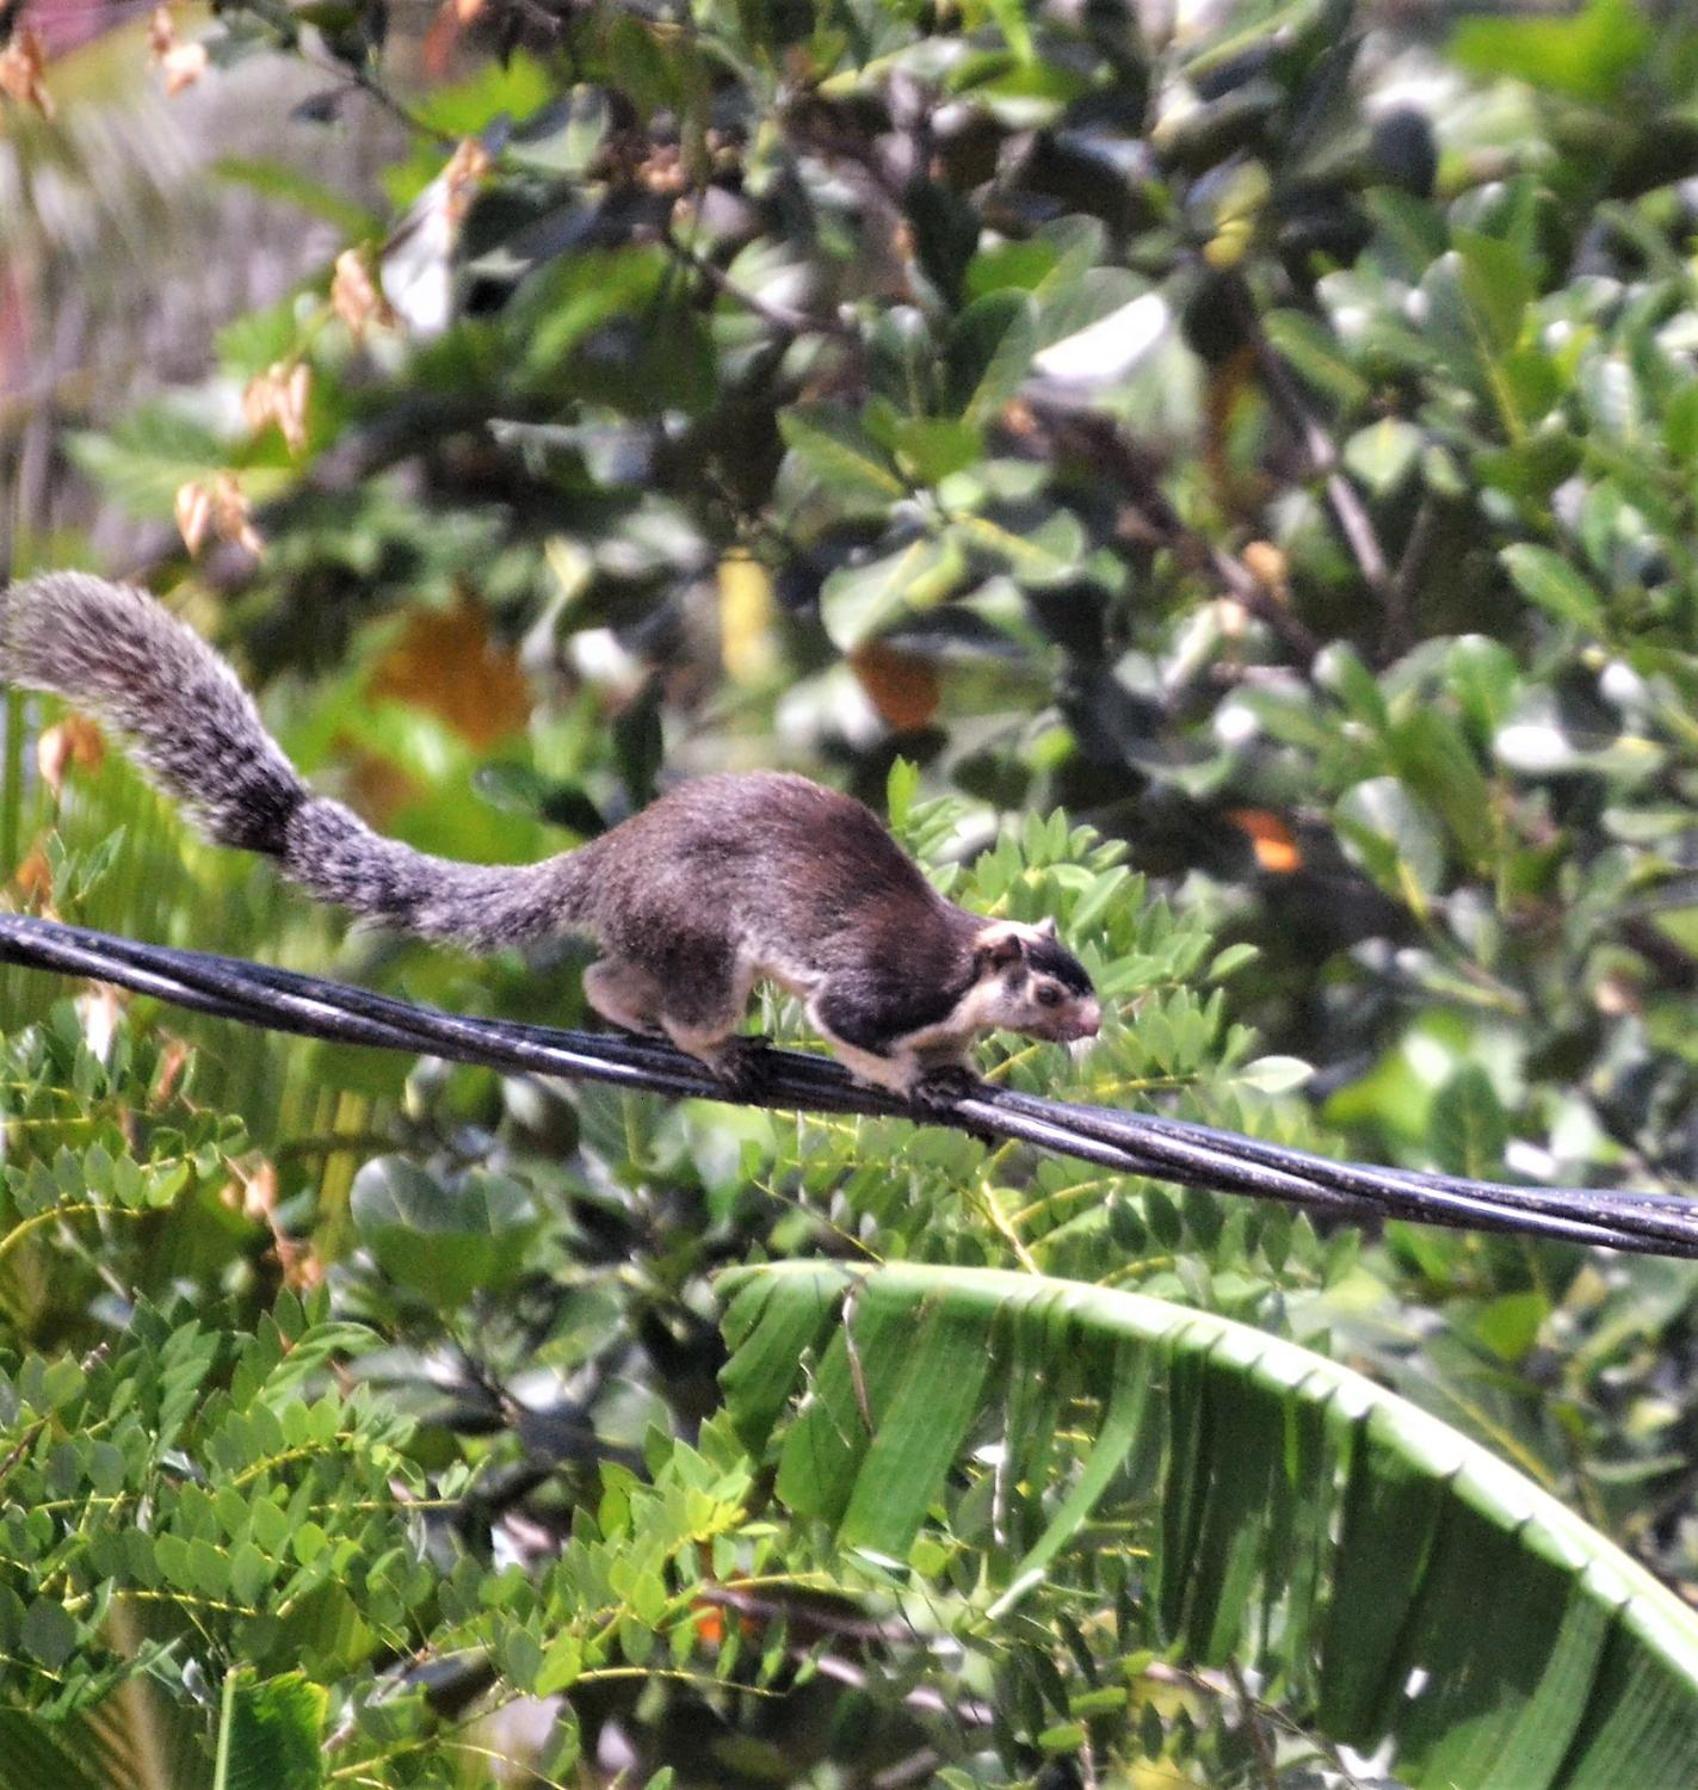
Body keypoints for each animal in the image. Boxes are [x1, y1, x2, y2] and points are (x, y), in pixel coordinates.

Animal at [0, 572, 1102, 1102]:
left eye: (1082, 980)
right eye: (1051, 992)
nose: (1093, 1024)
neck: (962, 971)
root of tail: (606, 858)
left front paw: (962, 1072)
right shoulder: (883, 987)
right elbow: (852, 1027)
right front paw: (914, 1081)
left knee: (611, 979)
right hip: (695, 932)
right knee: (664, 996)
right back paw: (711, 1051)